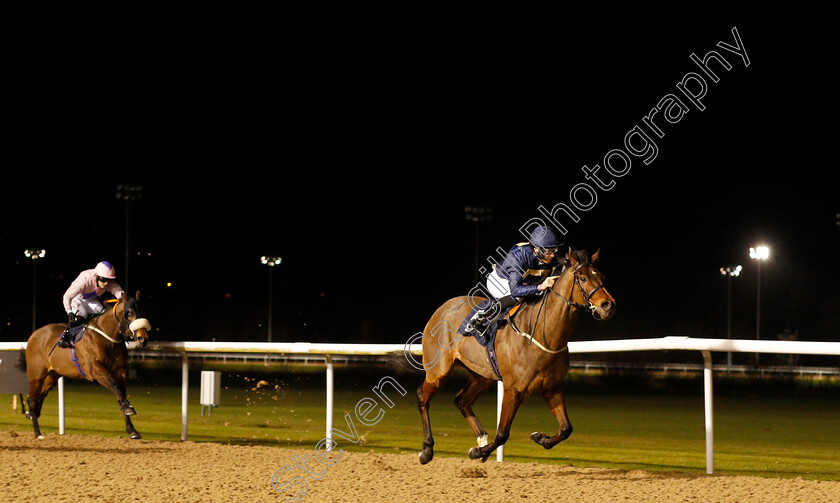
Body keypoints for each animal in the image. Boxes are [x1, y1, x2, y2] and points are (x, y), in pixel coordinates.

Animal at [17, 294, 153, 440]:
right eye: (129, 313)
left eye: (143, 312)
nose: (143, 338)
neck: (107, 337)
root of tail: (34, 335)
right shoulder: (96, 369)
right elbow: (114, 386)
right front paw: (129, 408)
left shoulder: (120, 371)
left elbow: (120, 394)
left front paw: (132, 430)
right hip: (36, 375)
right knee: (32, 400)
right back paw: (37, 433)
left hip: (52, 376)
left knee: (39, 397)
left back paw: (31, 415)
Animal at [416, 248, 612, 464]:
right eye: (583, 278)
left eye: (602, 276)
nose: (608, 305)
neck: (542, 335)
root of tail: (442, 308)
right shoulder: (513, 389)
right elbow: (502, 434)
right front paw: (477, 452)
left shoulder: (551, 386)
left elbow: (566, 428)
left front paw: (540, 438)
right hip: (438, 371)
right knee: (423, 397)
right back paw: (427, 450)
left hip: (482, 376)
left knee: (461, 400)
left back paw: (481, 439)